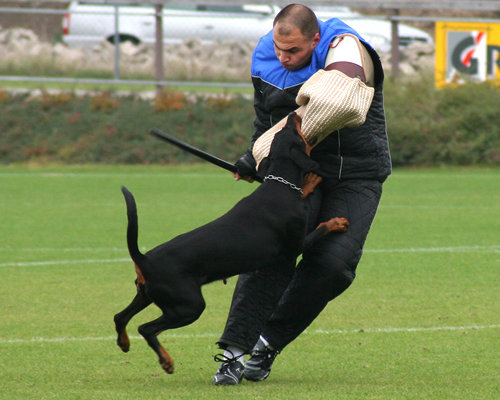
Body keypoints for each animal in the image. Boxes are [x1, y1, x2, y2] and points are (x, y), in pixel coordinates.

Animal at [114, 113, 350, 376]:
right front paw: (337, 220)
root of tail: (143, 258)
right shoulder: (297, 244)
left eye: (281, 133)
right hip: (188, 306)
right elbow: (321, 228)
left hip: (146, 295)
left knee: (119, 317)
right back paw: (166, 361)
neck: (279, 186)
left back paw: (124, 343)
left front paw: (309, 182)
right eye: (295, 133)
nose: (292, 115)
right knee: (146, 328)